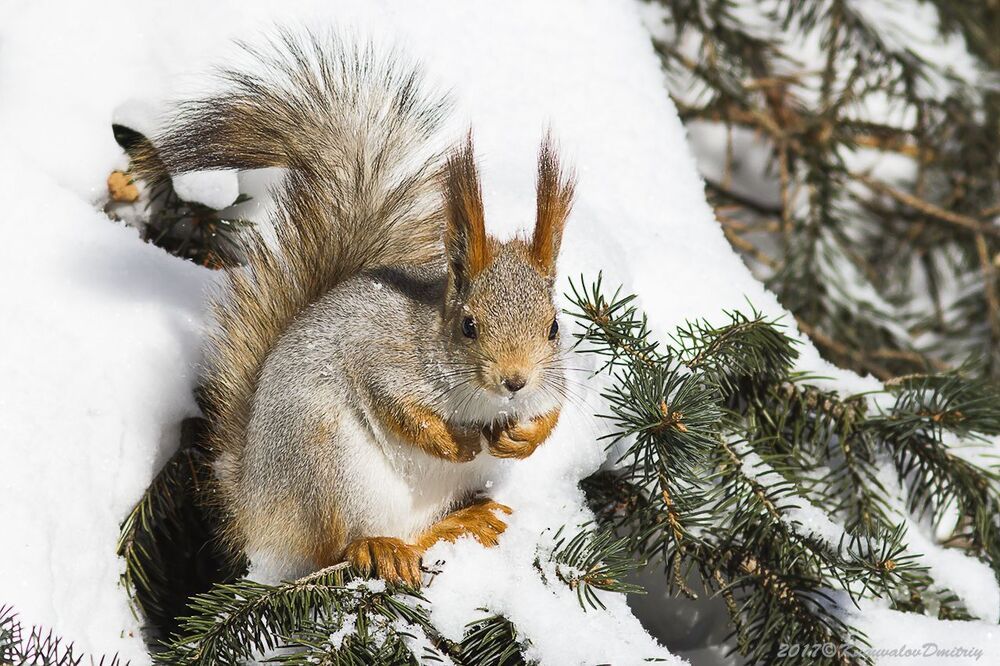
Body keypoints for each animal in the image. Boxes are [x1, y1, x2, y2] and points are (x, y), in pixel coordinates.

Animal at [137, 32, 576, 585]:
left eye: (554, 327)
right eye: (468, 326)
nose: (514, 381)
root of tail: (257, 511)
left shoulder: (551, 382)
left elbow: (554, 412)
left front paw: (525, 437)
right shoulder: (379, 356)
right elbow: (397, 408)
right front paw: (450, 442)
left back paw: (462, 522)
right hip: (330, 467)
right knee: (336, 547)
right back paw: (379, 546)